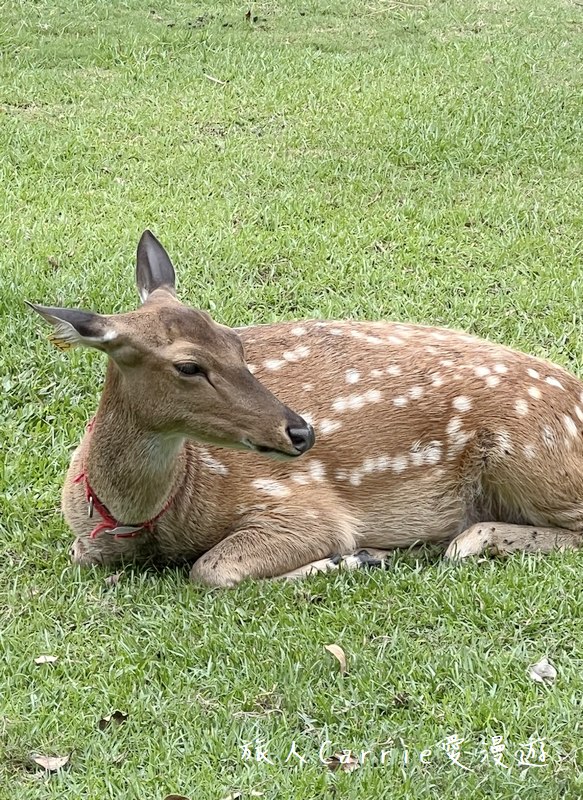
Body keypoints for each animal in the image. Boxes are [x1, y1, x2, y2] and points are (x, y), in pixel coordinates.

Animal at [29, 231, 583, 588]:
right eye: (188, 365)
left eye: (234, 340)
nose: (301, 432)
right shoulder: (84, 544)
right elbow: (85, 557)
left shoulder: (300, 506)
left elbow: (211, 569)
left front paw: (352, 559)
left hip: (528, 456)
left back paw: (465, 541)